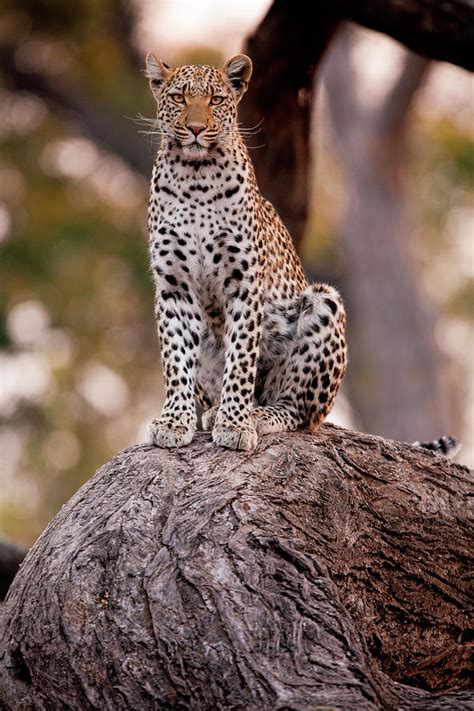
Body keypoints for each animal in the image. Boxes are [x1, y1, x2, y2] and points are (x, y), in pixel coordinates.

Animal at [143, 52, 346, 450]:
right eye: (178, 98)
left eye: (216, 100)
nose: (194, 128)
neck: (196, 177)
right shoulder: (174, 286)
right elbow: (176, 358)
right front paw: (175, 421)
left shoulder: (244, 284)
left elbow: (240, 357)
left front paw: (236, 424)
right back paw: (210, 413)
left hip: (323, 304)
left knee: (298, 411)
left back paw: (257, 414)